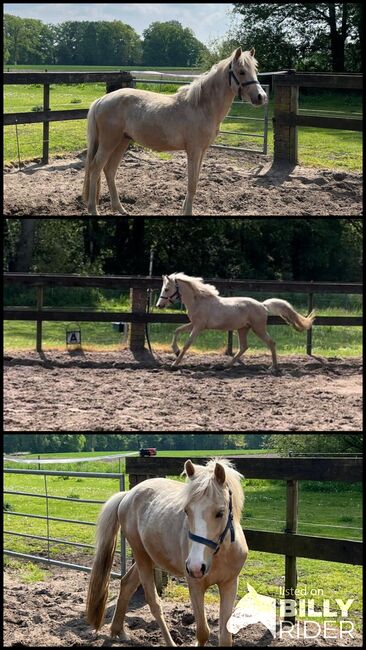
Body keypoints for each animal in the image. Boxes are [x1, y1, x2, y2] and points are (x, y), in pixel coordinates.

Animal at [82, 48, 266, 215]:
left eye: (255, 71)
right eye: (241, 71)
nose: (261, 97)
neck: (201, 106)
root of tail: (101, 100)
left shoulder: (202, 151)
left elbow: (195, 182)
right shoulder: (194, 150)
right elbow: (191, 184)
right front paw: (188, 213)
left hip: (122, 142)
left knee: (109, 170)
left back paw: (120, 208)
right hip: (108, 143)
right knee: (95, 168)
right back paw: (93, 209)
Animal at [87, 456, 247, 644]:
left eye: (220, 512)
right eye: (186, 511)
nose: (195, 566)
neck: (219, 555)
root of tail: (128, 494)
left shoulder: (229, 584)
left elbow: (225, 636)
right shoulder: (195, 586)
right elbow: (202, 632)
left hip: (150, 558)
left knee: (126, 584)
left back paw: (118, 631)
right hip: (141, 557)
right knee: (154, 602)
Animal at [156, 270, 316, 368]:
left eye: (166, 289)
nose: (159, 305)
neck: (199, 301)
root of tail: (263, 305)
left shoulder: (198, 327)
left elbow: (187, 343)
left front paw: (175, 363)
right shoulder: (193, 324)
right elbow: (176, 331)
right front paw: (175, 351)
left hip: (258, 328)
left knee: (271, 342)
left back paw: (273, 367)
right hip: (243, 329)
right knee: (244, 347)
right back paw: (227, 365)